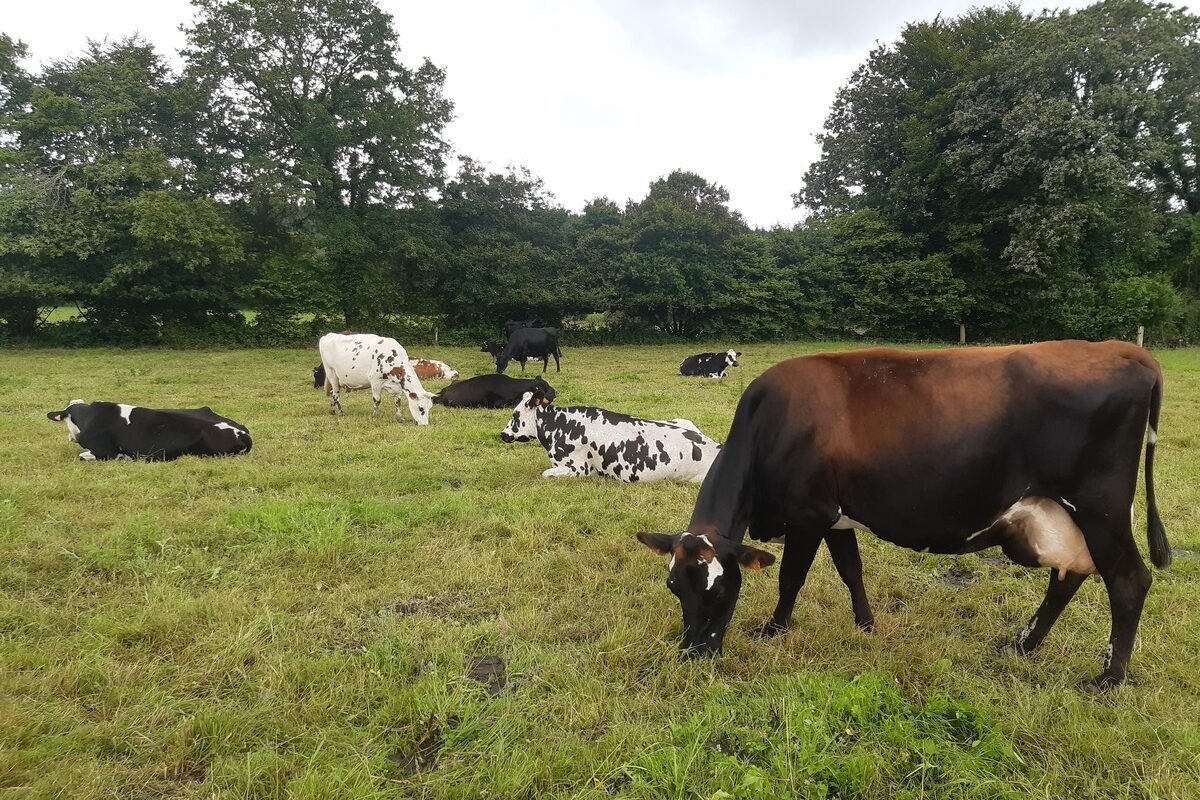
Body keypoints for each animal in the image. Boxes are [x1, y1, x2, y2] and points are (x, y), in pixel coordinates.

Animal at [638, 340, 1171, 690]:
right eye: (674, 587)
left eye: (720, 589)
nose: (694, 653)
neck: (768, 423)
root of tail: (1123, 349)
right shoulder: (836, 516)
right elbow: (851, 570)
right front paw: (866, 624)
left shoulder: (807, 514)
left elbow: (792, 578)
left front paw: (774, 629)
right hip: (1060, 516)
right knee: (1070, 577)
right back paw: (1023, 645)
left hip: (1101, 509)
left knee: (1129, 580)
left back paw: (1108, 679)